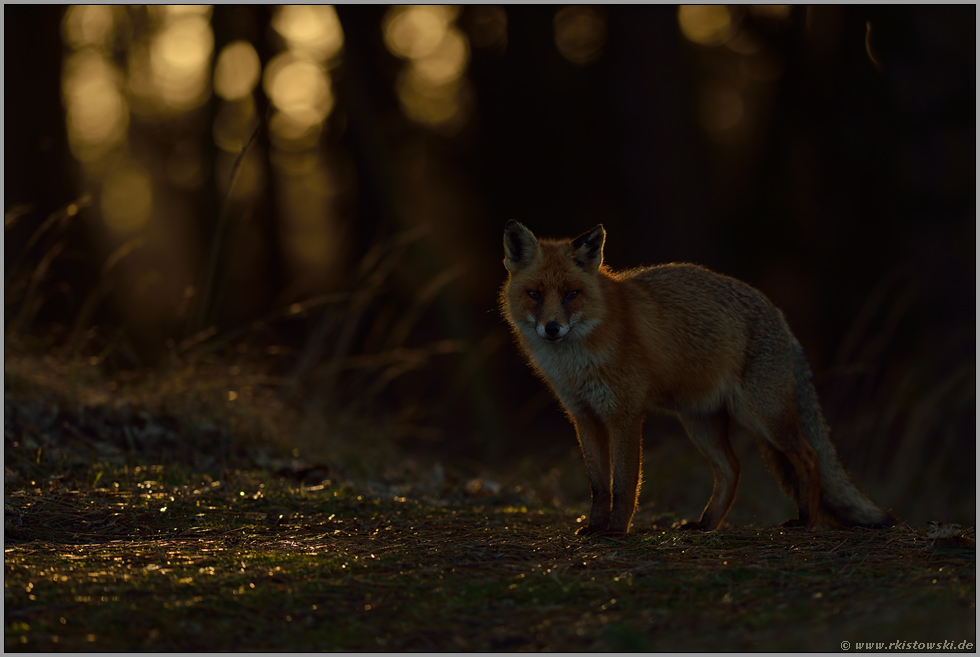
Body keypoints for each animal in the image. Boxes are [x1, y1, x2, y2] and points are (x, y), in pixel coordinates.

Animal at [506, 220, 896, 532]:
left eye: (572, 294)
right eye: (534, 295)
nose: (552, 329)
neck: (577, 360)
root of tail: (781, 319)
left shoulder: (625, 413)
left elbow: (624, 483)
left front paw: (616, 530)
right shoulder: (584, 416)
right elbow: (599, 485)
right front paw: (594, 527)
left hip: (764, 418)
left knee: (809, 458)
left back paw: (806, 521)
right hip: (701, 423)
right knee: (732, 470)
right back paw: (706, 524)